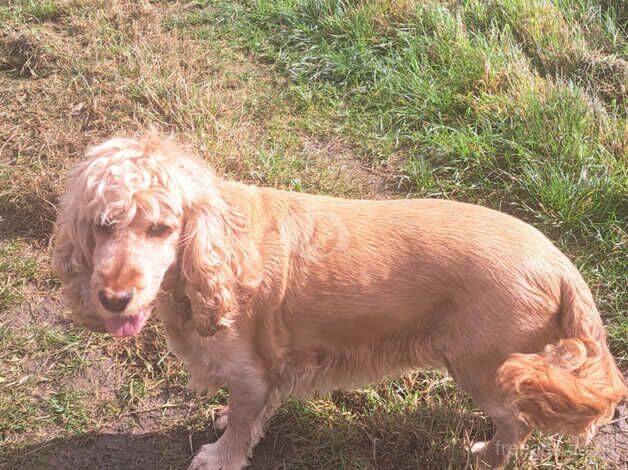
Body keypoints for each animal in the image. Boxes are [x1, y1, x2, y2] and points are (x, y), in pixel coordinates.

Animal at [52, 133, 624, 470]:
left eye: (161, 228)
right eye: (102, 224)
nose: (113, 298)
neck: (218, 250)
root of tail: (560, 263)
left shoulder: (250, 370)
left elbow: (239, 423)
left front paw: (221, 455)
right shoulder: (268, 372)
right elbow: (249, 415)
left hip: (482, 367)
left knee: (517, 422)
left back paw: (487, 453)